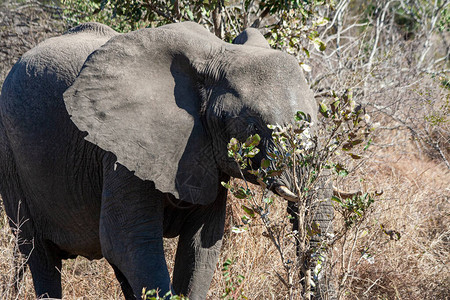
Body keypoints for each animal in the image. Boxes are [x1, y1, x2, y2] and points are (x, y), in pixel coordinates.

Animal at [0, 22, 324, 298]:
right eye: (253, 125)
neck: (218, 53)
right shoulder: (124, 145)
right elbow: (129, 243)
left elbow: (201, 248)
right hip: (10, 156)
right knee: (38, 254)